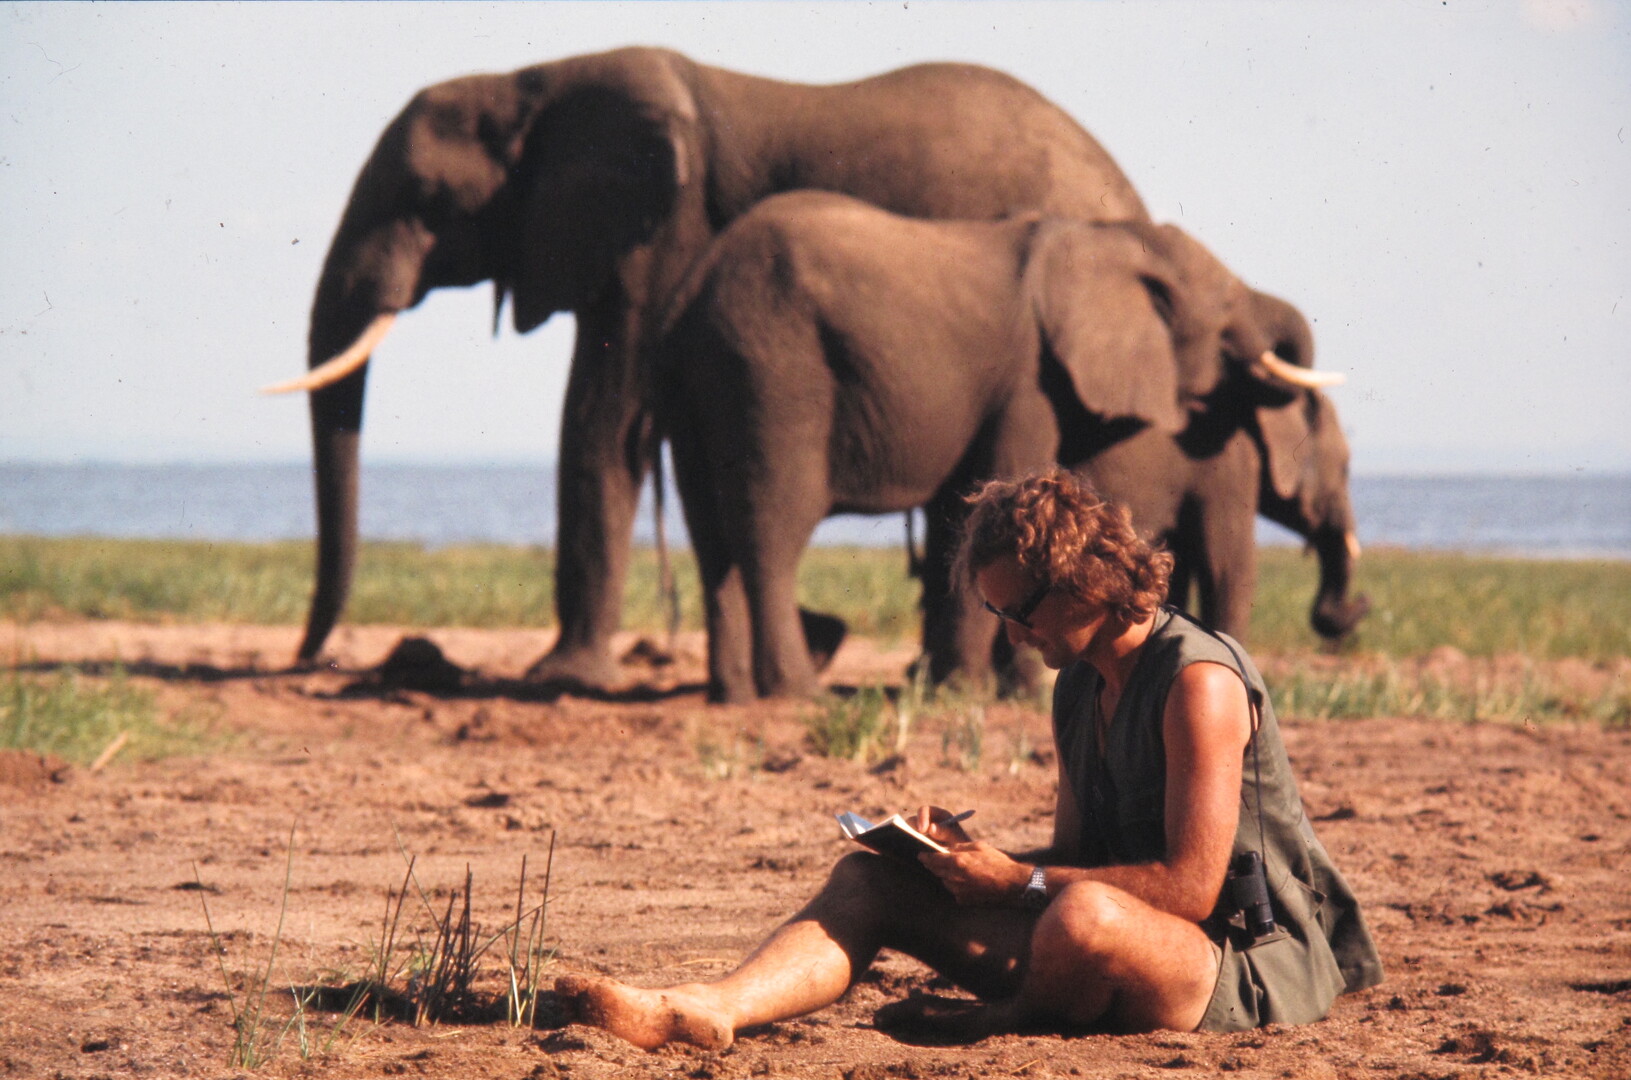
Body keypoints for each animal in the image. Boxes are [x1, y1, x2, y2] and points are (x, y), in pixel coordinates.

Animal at [265, 46, 1149, 686]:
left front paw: (563, 678)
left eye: (426, 201)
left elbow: (602, 419)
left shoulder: (659, 232)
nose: (313, 658)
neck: (534, 84)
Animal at [653, 190, 1335, 702]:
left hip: (699, 375)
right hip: (771, 365)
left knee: (709, 536)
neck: (1104, 237)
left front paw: (963, 689)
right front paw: (973, 693)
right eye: (1225, 313)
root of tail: (693, 285)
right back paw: (797, 693)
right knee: (774, 525)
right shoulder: (1028, 382)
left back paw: (734, 694)